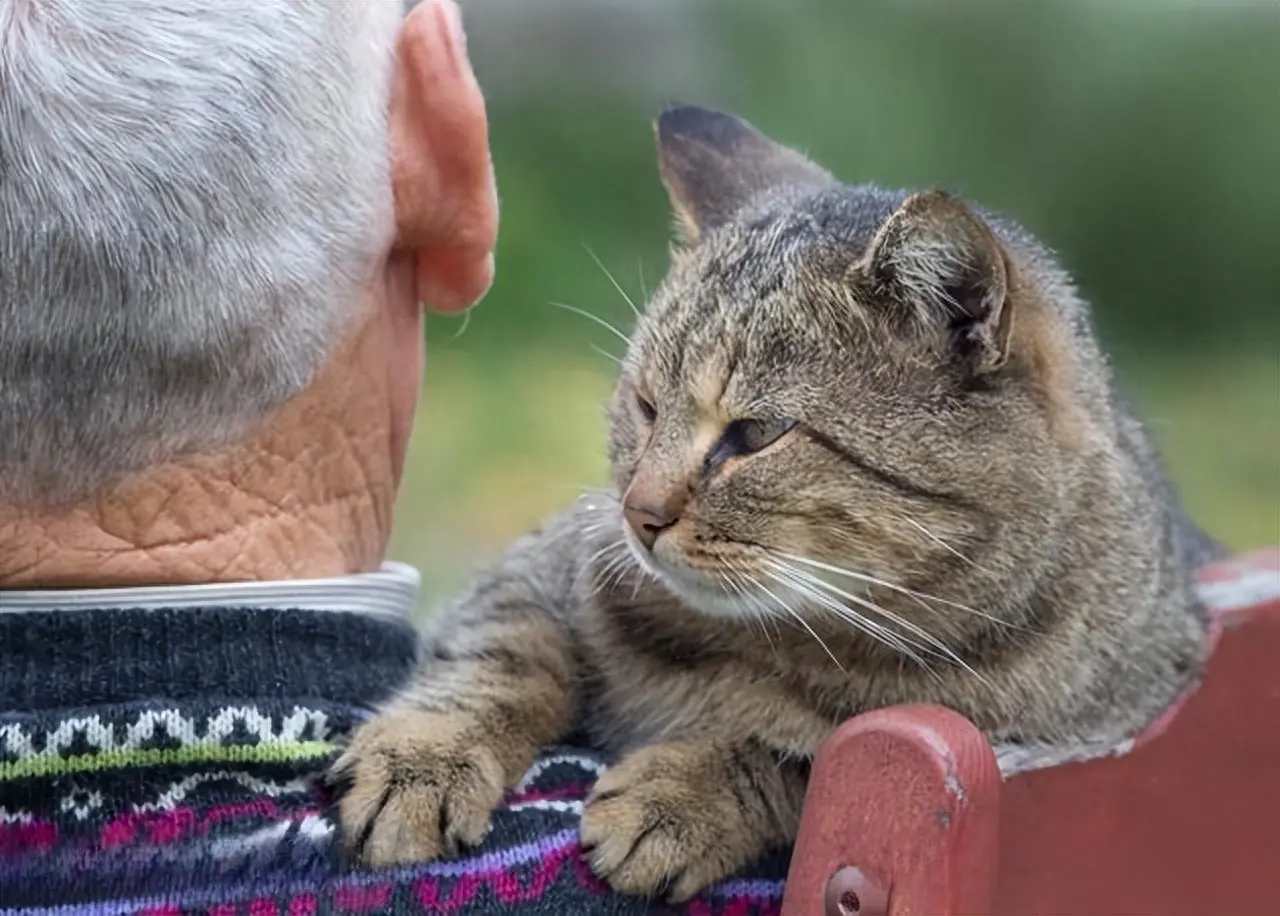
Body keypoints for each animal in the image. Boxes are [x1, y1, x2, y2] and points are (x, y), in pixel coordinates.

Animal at [330, 105, 1218, 900]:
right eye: (646, 406)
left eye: (755, 434)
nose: (639, 513)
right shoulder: (549, 559)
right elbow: (501, 652)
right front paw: (423, 758)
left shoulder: (1018, 746)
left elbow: (801, 756)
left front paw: (682, 793)